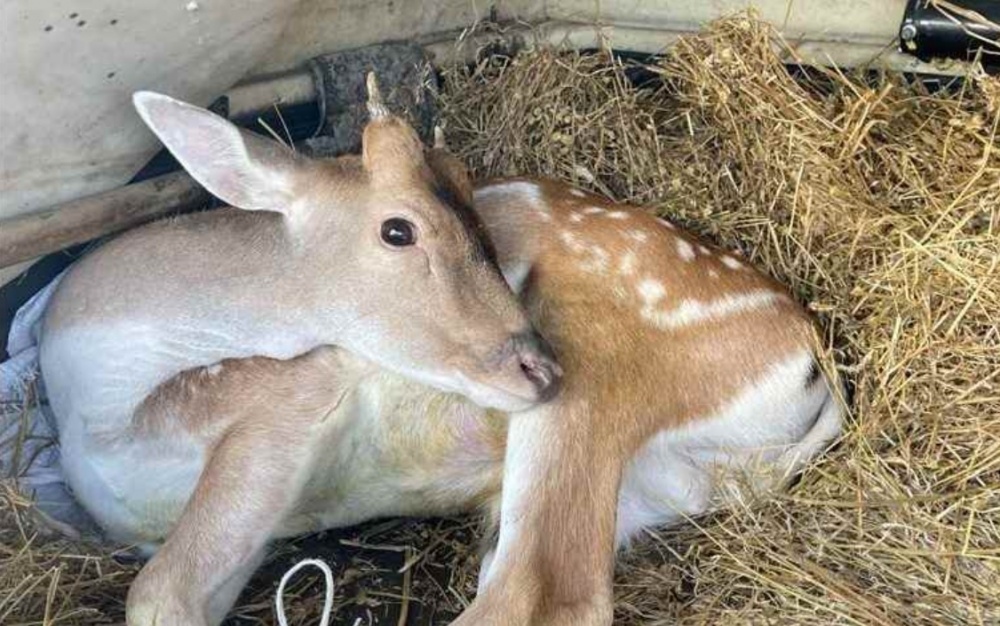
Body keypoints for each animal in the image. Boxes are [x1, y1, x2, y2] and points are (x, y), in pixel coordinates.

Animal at [39, 84, 840, 624]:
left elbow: (158, 592)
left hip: (599, 357)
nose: (534, 366)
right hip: (659, 486)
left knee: (546, 590)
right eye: (400, 230)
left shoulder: (292, 390)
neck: (100, 410)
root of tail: (812, 368)